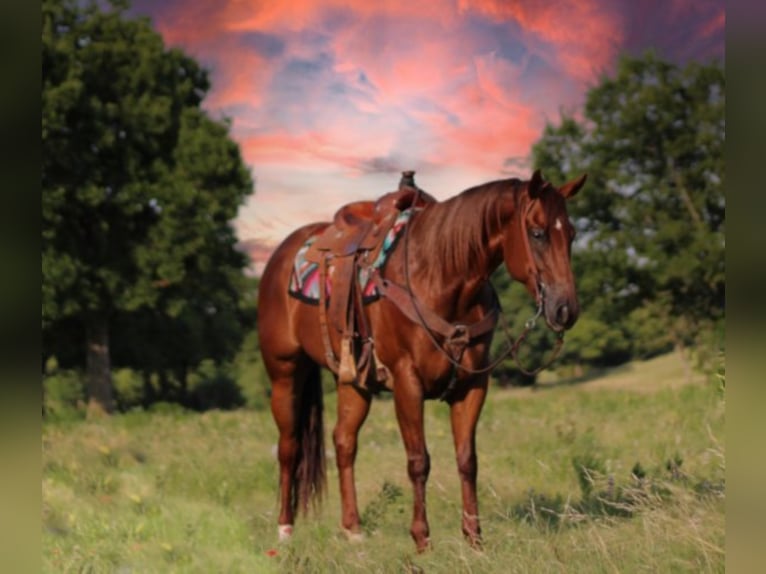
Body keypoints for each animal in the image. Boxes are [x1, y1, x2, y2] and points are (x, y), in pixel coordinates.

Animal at [258, 170, 588, 552]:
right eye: (537, 233)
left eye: (572, 234)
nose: (565, 310)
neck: (440, 276)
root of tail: (281, 255)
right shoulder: (407, 383)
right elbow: (419, 461)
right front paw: (422, 540)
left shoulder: (472, 385)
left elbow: (467, 460)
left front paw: (474, 539)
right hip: (284, 373)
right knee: (289, 447)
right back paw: (285, 529)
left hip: (353, 381)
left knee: (344, 442)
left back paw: (353, 530)